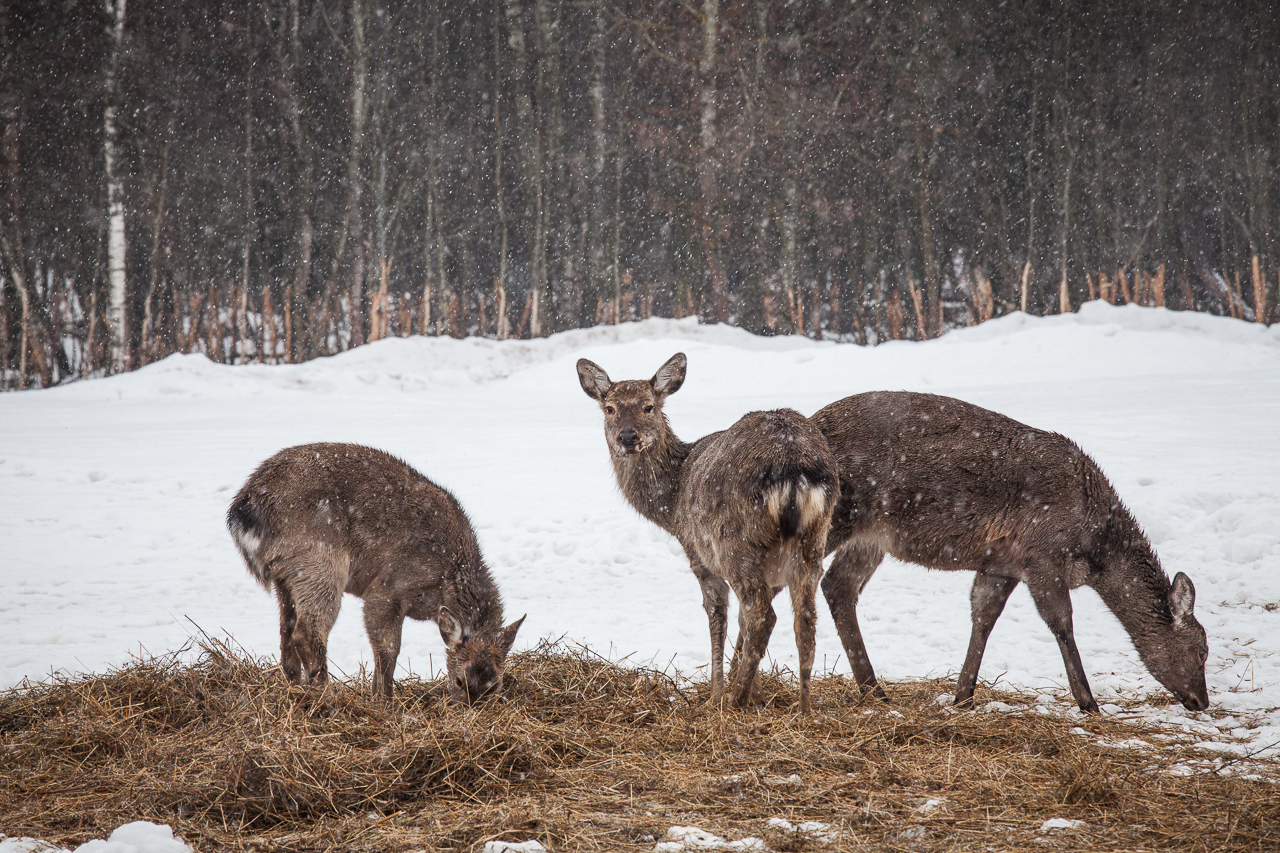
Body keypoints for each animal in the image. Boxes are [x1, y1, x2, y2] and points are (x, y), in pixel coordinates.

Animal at [229, 440, 524, 701]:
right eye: (460, 680)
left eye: (495, 684)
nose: (469, 707)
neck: (447, 576)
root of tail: (244, 511)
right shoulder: (388, 587)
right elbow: (389, 648)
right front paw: (385, 700)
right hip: (318, 561)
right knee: (307, 632)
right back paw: (328, 695)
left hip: (285, 574)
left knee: (286, 629)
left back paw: (295, 685)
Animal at [573, 350, 834, 712]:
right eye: (609, 408)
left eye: (649, 406)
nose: (627, 437)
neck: (671, 503)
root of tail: (793, 468)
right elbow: (739, 621)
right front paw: (747, 691)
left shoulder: (697, 553)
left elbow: (718, 615)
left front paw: (716, 693)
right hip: (814, 537)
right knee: (805, 616)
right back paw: (803, 708)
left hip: (735, 542)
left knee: (762, 615)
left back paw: (734, 702)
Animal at [808, 389, 1208, 712]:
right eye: (1202, 650)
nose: (1202, 701)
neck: (1095, 548)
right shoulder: (1043, 555)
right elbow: (1061, 622)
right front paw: (1089, 703)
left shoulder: (1001, 564)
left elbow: (984, 616)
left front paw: (963, 696)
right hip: (838, 515)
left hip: (872, 538)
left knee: (838, 586)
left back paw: (874, 690)